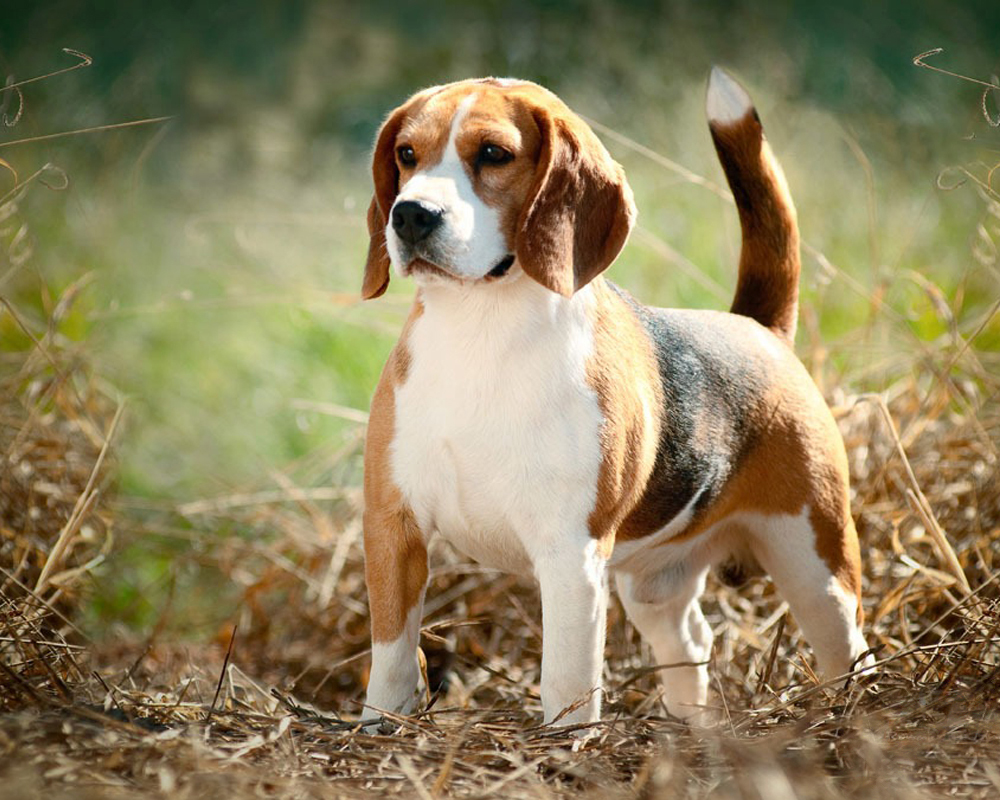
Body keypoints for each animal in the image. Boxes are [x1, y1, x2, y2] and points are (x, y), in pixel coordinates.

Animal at [358, 69, 868, 728]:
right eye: (406, 155)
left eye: (493, 153)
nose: (411, 215)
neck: (481, 328)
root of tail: (757, 328)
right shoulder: (392, 527)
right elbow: (392, 657)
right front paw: (379, 727)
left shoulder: (569, 554)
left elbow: (566, 680)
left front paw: (565, 742)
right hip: (654, 585)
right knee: (692, 640)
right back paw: (692, 726)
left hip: (815, 563)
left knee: (846, 646)